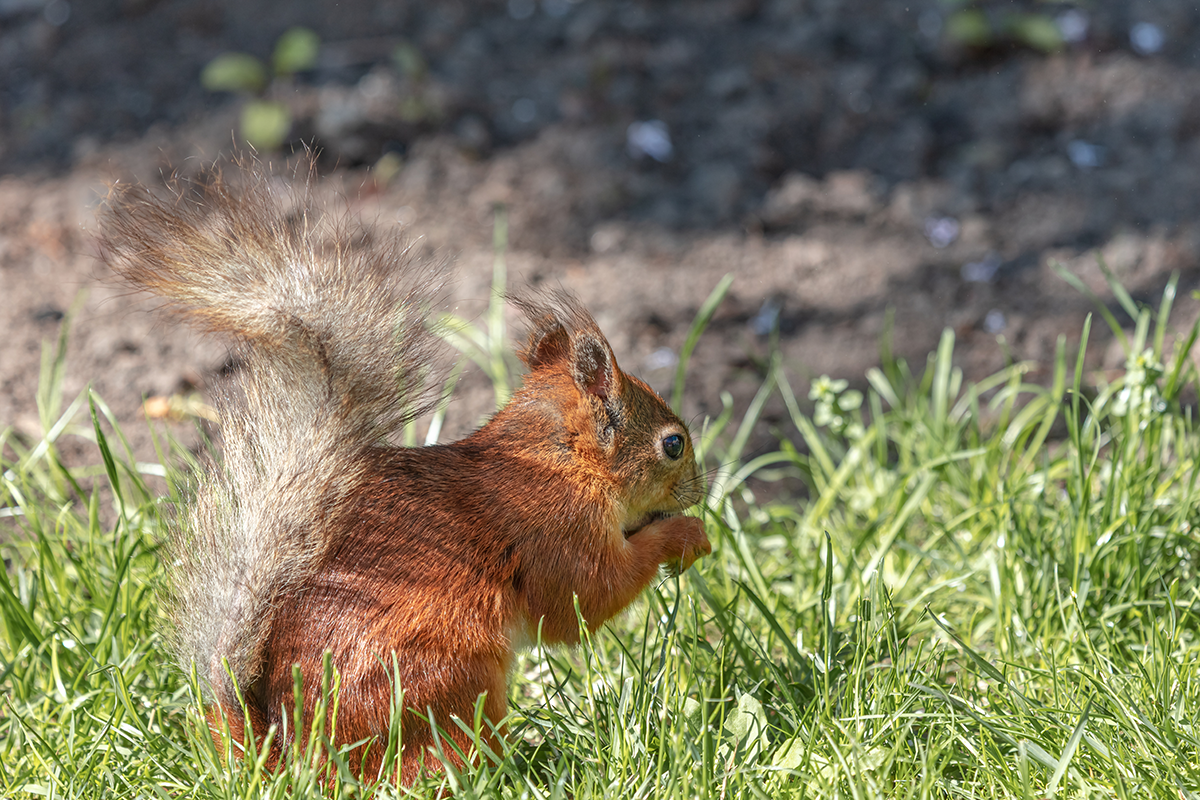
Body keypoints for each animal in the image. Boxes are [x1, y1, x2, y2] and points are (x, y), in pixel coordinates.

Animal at [100, 164, 710, 786]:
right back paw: (513, 765)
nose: (700, 489)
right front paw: (685, 535)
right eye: (673, 444)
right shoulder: (557, 532)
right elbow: (589, 598)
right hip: (446, 677)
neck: (558, 461)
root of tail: (294, 757)